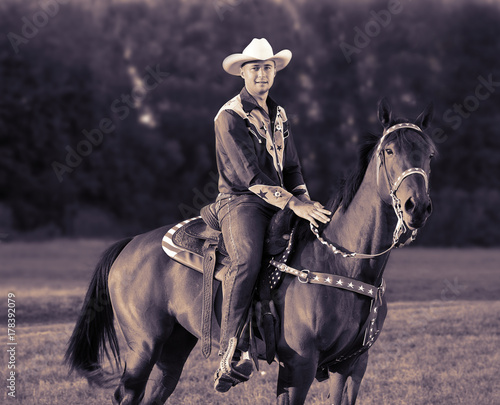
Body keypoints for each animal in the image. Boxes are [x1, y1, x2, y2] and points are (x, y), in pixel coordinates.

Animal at [64, 98, 436, 404]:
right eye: (389, 151)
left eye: (429, 154)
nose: (416, 207)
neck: (342, 263)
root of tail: (131, 243)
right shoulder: (298, 366)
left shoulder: (353, 367)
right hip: (143, 345)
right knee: (126, 394)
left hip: (174, 347)